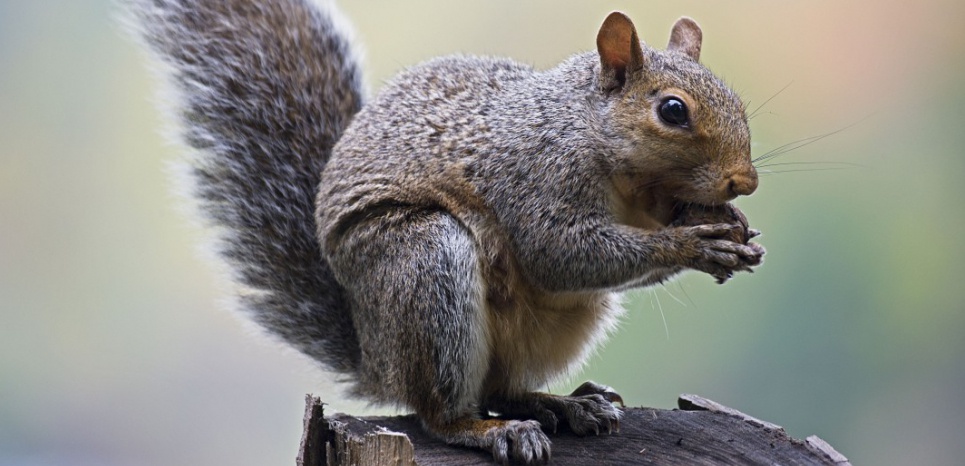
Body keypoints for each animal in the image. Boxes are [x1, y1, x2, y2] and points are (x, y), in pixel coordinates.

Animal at [128, 0, 764, 462]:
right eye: (673, 111)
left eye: (737, 101)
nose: (745, 181)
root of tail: (377, 357)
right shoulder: (532, 177)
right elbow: (557, 253)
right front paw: (692, 244)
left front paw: (729, 228)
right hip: (426, 263)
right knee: (442, 412)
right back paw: (491, 430)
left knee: (502, 389)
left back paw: (565, 406)